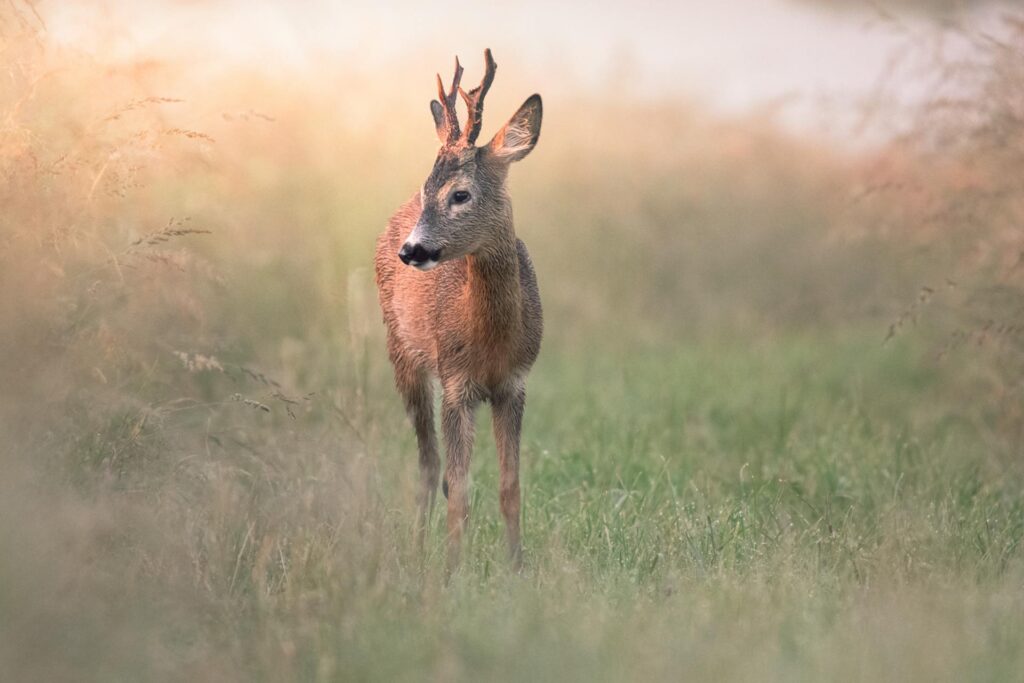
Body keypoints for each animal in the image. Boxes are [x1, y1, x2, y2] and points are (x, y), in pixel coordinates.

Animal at [374, 49, 543, 570]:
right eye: (427, 190)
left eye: (461, 194)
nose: (412, 250)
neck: (490, 340)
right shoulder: (455, 381)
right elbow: (461, 490)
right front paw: (451, 574)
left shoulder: (514, 383)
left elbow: (511, 487)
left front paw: (517, 569)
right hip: (401, 352)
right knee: (429, 466)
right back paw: (417, 555)